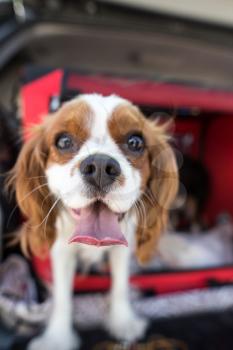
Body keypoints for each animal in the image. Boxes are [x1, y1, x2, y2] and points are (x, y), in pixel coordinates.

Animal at [8, 94, 177, 350]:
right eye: (64, 141)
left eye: (135, 142)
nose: (99, 167)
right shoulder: (62, 253)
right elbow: (62, 297)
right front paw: (57, 337)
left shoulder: (121, 248)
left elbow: (120, 285)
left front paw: (122, 321)